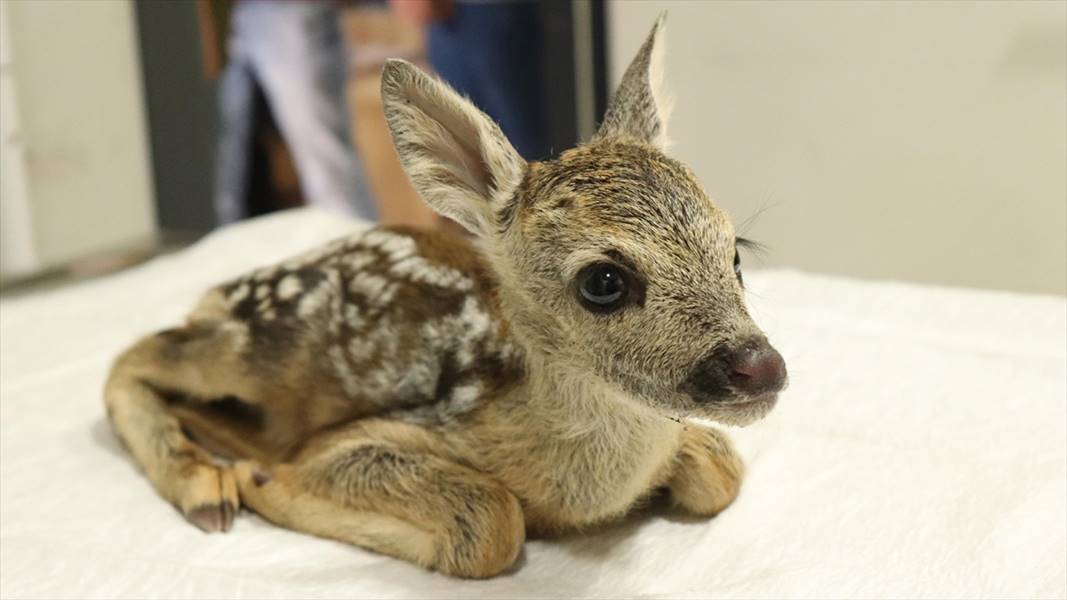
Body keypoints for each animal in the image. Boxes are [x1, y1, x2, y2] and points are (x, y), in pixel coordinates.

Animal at [104, 16, 785, 576]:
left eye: (735, 253)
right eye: (603, 282)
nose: (762, 367)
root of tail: (219, 292)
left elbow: (722, 469)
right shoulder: (359, 436)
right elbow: (492, 522)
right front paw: (258, 478)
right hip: (262, 352)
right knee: (133, 357)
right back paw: (206, 486)